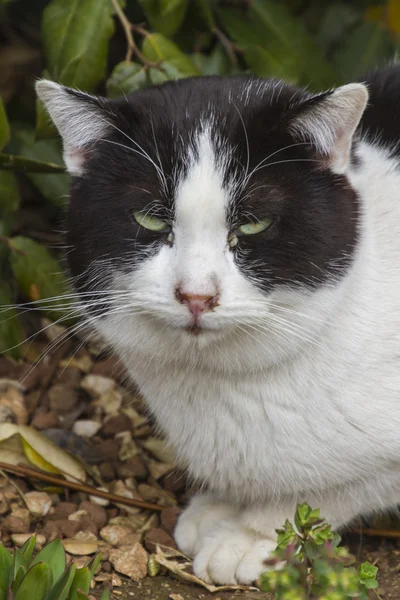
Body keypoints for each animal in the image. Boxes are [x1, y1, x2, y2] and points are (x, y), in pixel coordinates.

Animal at [36, 67, 400, 584]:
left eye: (253, 226)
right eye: (150, 219)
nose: (196, 295)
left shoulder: (380, 465)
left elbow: (331, 489)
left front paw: (250, 535)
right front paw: (221, 507)